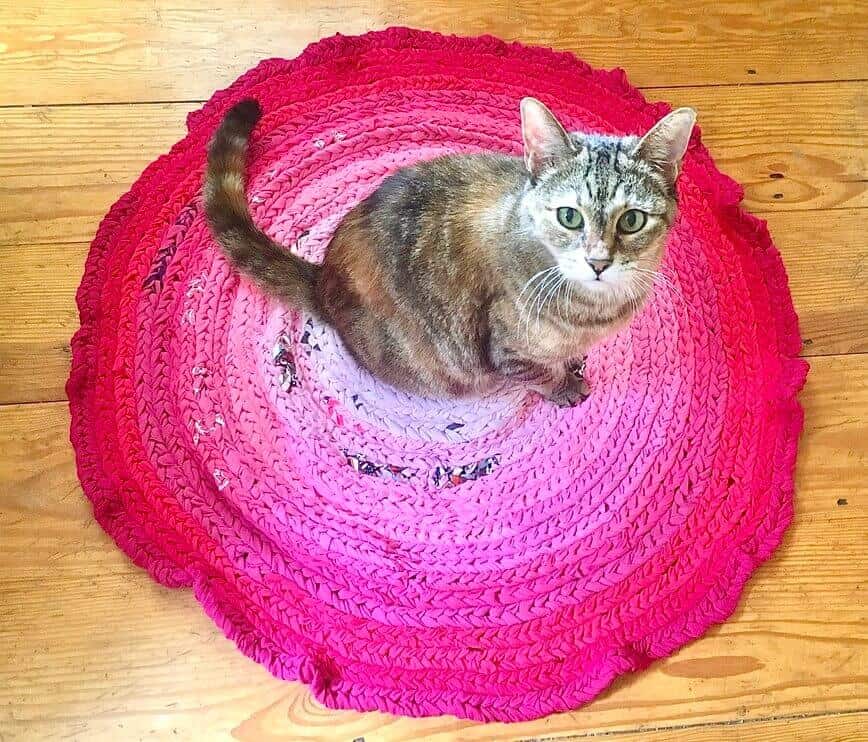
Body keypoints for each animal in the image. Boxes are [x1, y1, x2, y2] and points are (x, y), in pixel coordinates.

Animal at [202, 96, 692, 406]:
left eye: (632, 220)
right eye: (570, 216)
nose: (598, 261)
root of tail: (322, 278)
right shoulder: (507, 347)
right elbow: (540, 373)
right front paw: (565, 387)